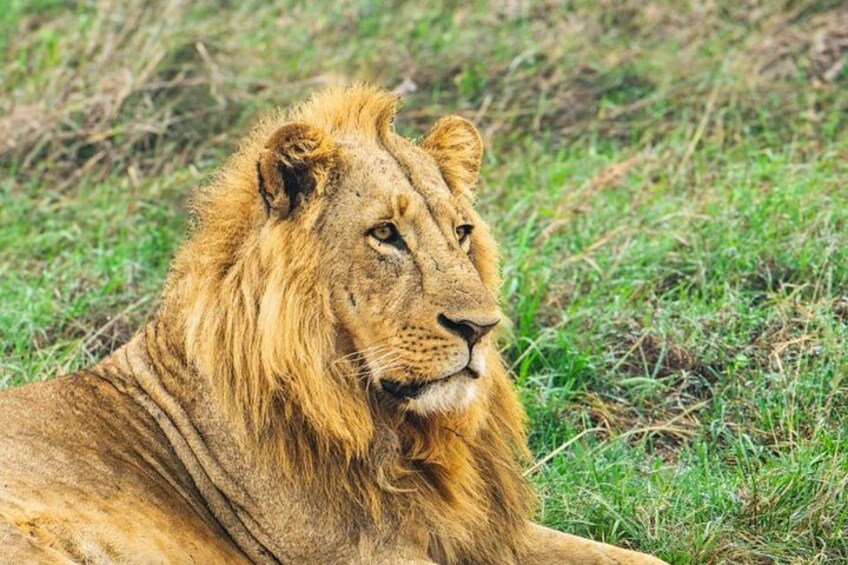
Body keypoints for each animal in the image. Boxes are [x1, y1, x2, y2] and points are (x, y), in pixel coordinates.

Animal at [0, 85, 667, 564]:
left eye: (462, 232)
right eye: (385, 234)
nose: (480, 327)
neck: (401, 435)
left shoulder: (483, 533)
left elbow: (641, 559)